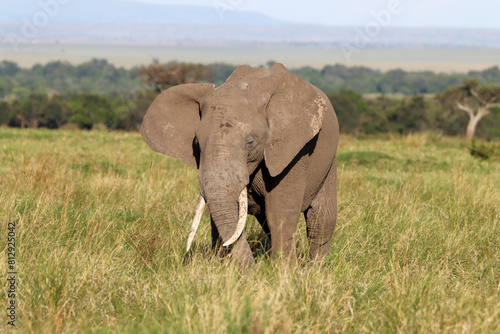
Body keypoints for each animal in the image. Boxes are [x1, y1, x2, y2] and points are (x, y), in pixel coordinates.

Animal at [143, 63, 342, 266]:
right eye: (196, 143)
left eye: (250, 142)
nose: (254, 269)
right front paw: (220, 265)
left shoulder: (294, 150)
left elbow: (279, 212)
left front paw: (283, 270)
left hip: (329, 159)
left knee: (321, 217)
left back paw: (316, 268)